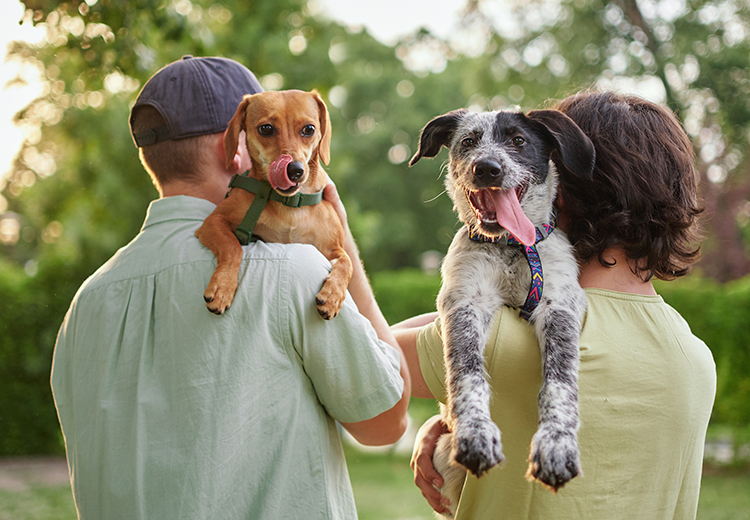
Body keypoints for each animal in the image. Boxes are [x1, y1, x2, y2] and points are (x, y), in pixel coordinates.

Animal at [197, 89, 356, 316]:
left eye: (309, 129)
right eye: (266, 129)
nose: (294, 170)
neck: (290, 205)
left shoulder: (333, 248)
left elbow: (347, 263)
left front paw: (333, 295)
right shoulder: (213, 221)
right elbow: (232, 246)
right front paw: (222, 287)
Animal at [412, 106, 592, 516]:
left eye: (518, 140)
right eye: (468, 141)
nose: (488, 169)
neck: (510, 246)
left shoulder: (560, 305)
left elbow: (560, 382)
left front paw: (556, 446)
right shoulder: (464, 303)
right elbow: (467, 374)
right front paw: (476, 435)